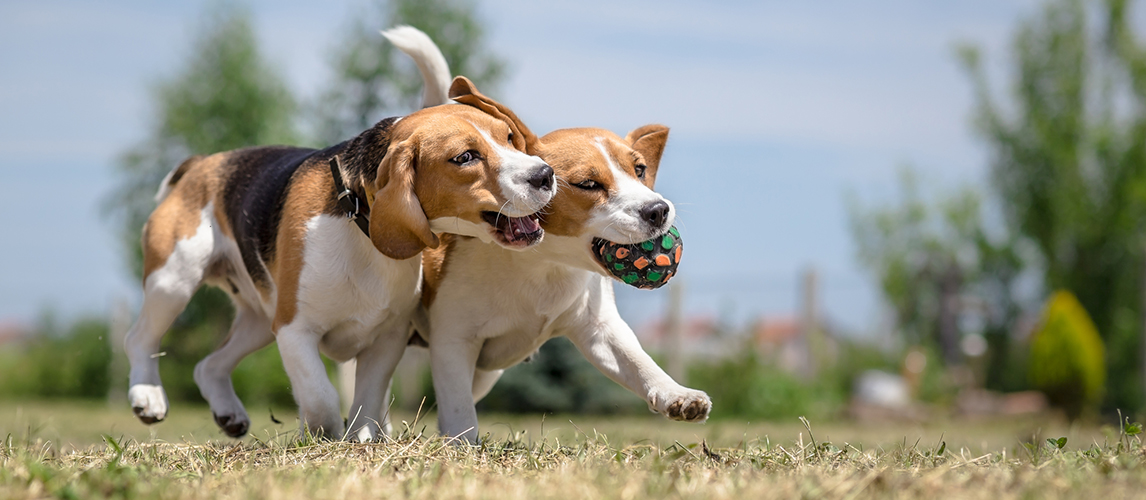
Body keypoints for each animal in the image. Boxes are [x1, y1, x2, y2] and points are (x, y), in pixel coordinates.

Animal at [124, 76, 554, 440]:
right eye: (465, 158)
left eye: (510, 137)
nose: (545, 175)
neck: (358, 223)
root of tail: (203, 163)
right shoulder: (295, 330)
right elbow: (322, 397)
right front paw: (323, 436)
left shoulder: (387, 338)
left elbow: (367, 400)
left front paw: (362, 441)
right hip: (175, 280)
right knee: (139, 338)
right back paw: (148, 397)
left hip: (259, 320)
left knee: (208, 366)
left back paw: (228, 413)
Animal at [396, 26, 715, 440]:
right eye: (588, 184)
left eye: (640, 169)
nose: (658, 210)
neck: (542, 264)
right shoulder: (453, 340)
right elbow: (457, 406)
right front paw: (462, 442)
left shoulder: (600, 328)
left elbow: (636, 360)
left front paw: (675, 393)